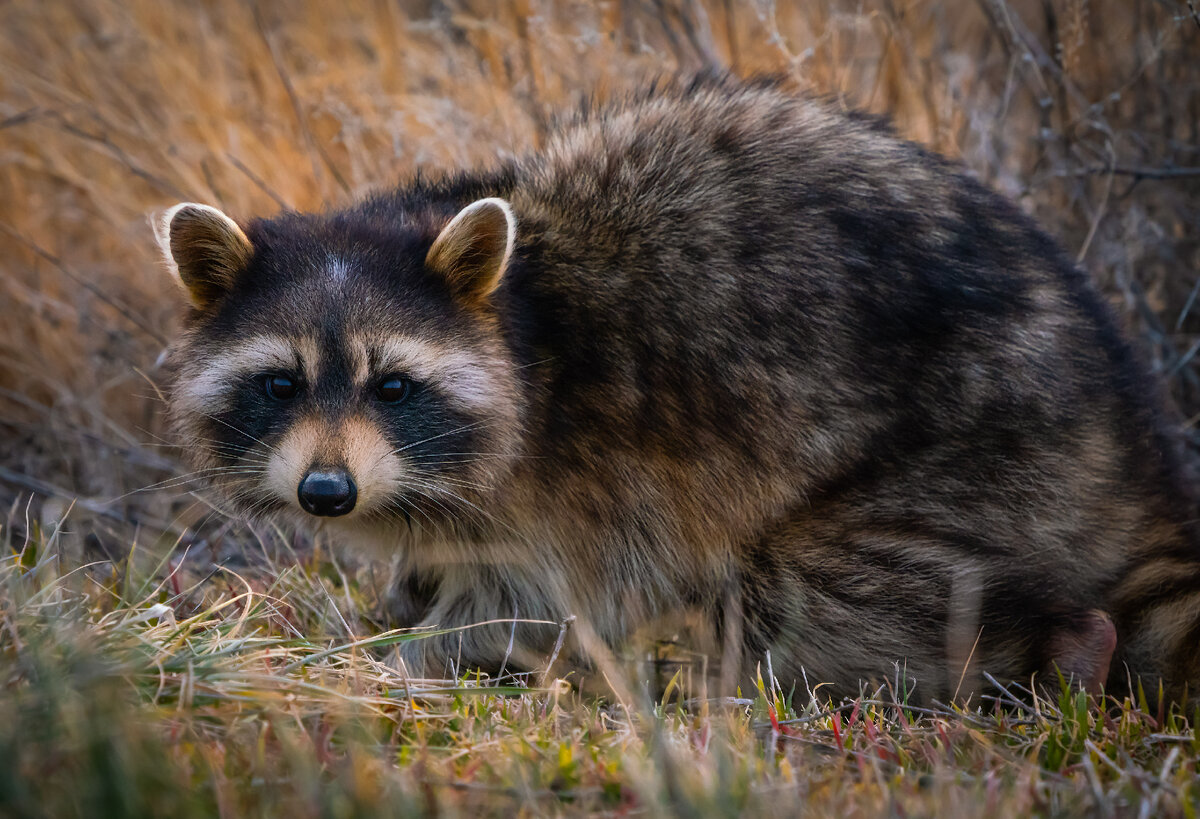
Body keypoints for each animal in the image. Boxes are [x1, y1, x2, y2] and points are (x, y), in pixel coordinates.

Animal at [154, 78, 1200, 701]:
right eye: (281, 383)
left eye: (395, 387)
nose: (326, 492)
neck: (522, 320)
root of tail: (1126, 435)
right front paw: (402, 599)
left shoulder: (583, 479)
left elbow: (528, 604)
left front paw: (393, 661)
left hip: (977, 449)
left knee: (824, 593)